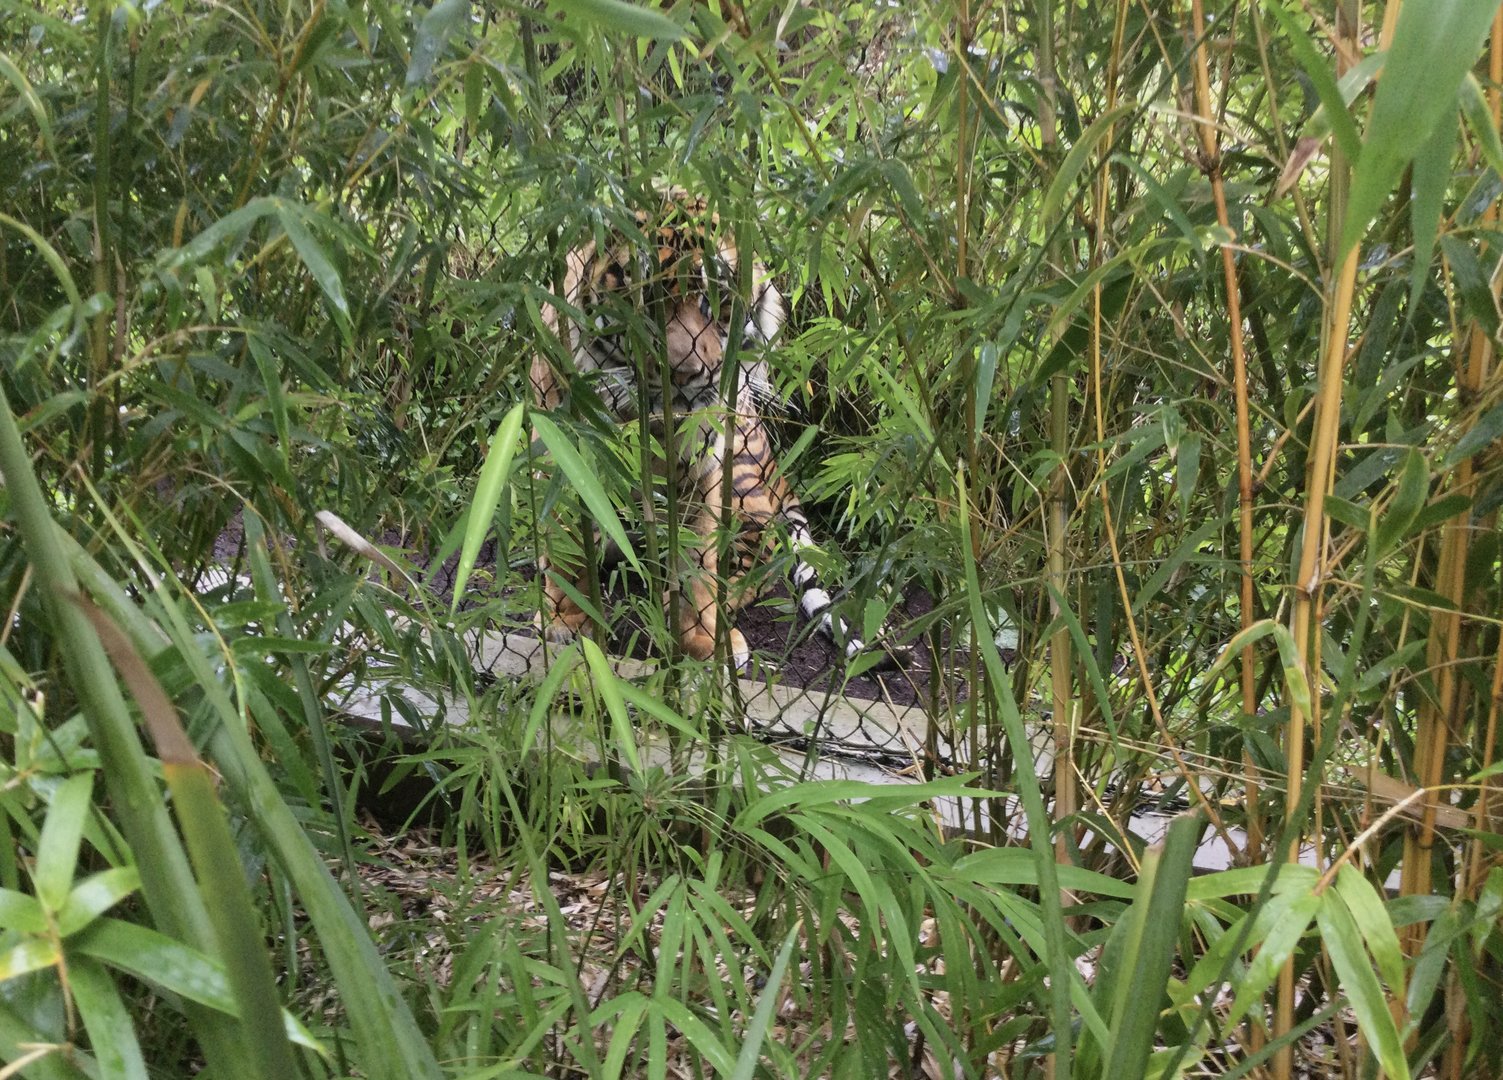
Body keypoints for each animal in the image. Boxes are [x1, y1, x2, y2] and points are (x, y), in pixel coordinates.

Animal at [529, 191, 904, 672]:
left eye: (718, 300)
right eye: (646, 298)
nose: (685, 373)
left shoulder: (702, 477)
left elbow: (694, 565)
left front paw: (703, 641)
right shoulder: (568, 447)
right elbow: (571, 541)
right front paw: (565, 619)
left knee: (755, 570)